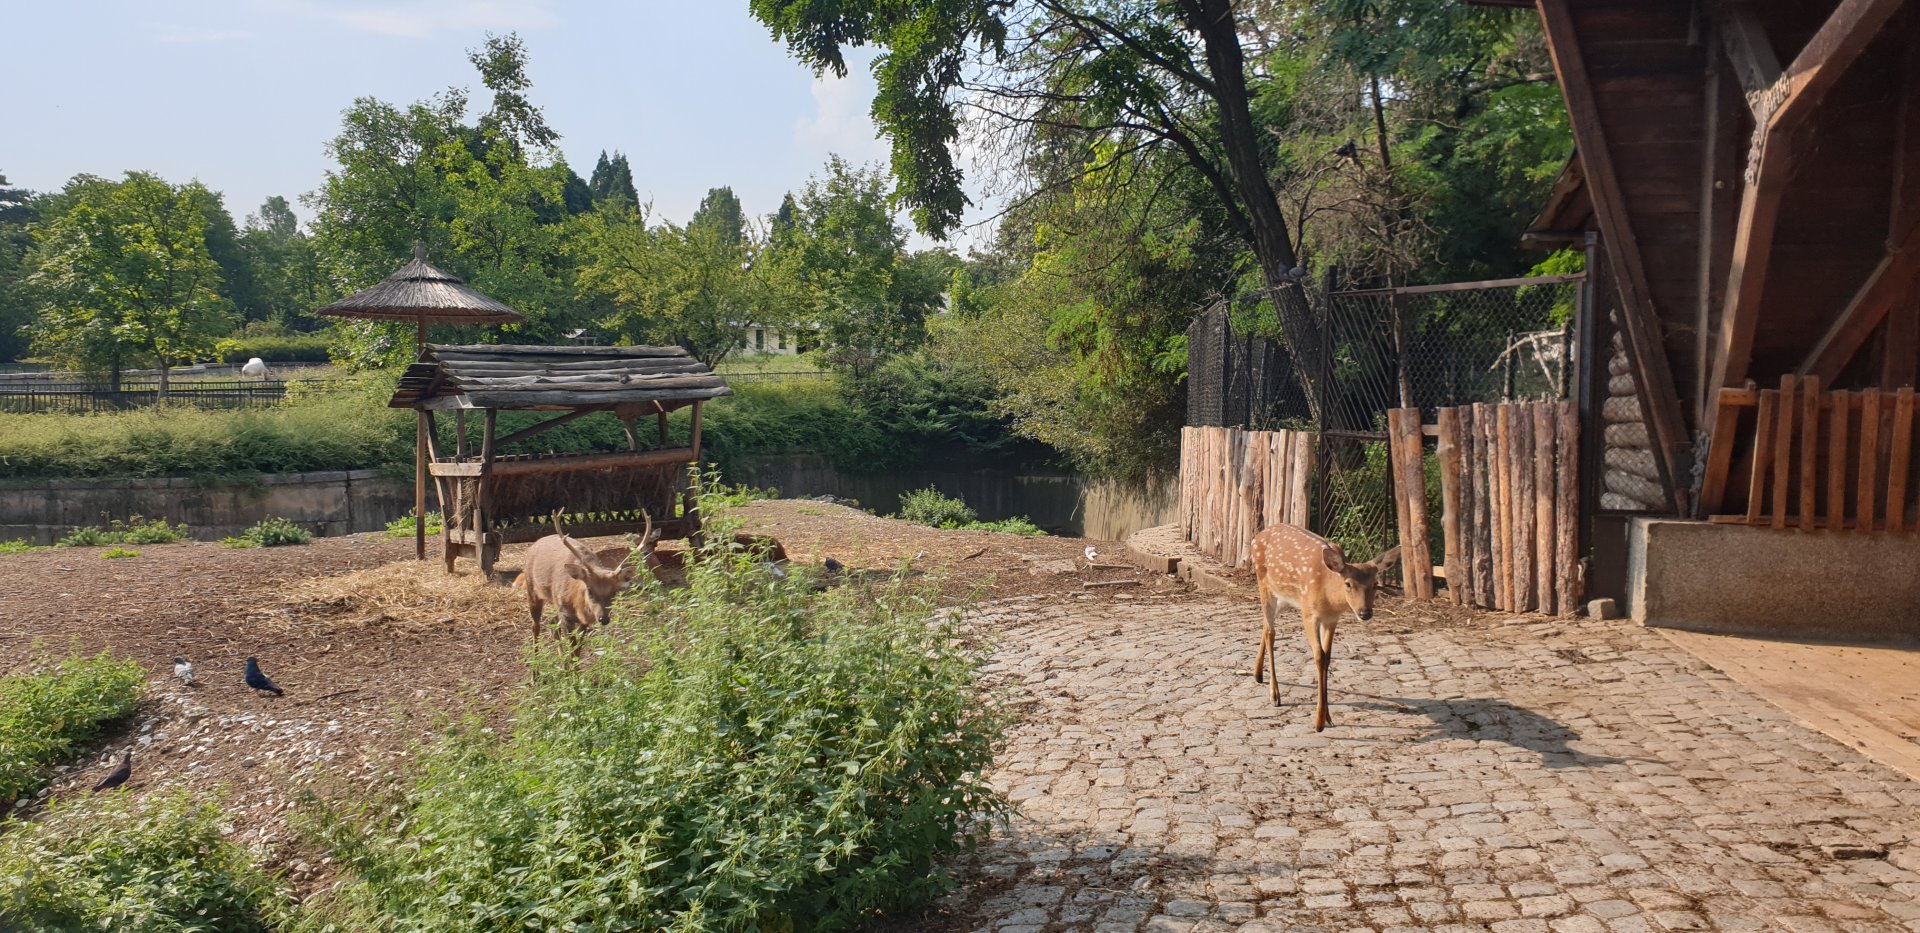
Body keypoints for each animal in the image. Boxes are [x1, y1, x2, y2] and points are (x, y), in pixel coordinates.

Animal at [515, 509, 659, 656]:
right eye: (590, 591)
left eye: (614, 593)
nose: (603, 619)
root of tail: (537, 542)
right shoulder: (566, 614)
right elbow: (572, 649)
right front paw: (569, 663)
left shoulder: (582, 621)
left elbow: (578, 649)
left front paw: (572, 662)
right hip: (532, 589)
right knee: (535, 626)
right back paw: (535, 660)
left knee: (552, 623)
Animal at [1249, 522, 1400, 732]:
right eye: (1348, 584)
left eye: (1375, 584)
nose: (1365, 613)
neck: (1329, 596)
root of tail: (1257, 537)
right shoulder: (1309, 614)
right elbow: (1319, 656)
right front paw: (1319, 721)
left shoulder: (1331, 619)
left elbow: (1328, 657)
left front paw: (1328, 716)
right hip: (1264, 585)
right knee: (1271, 633)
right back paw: (1275, 694)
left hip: (1283, 598)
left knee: (1265, 626)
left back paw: (1257, 675)